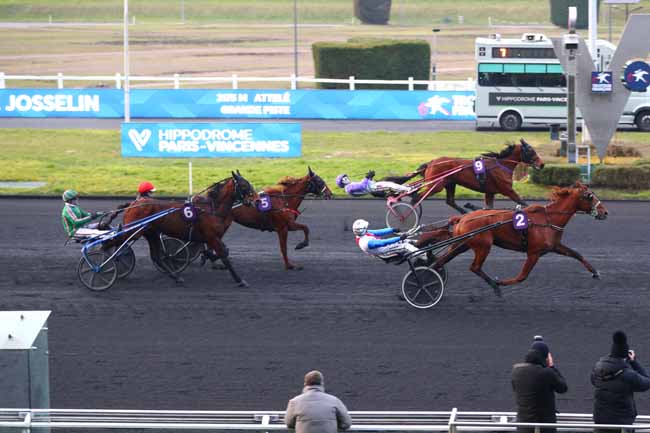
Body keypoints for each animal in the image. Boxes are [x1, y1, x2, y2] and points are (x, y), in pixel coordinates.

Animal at [121, 171, 256, 286]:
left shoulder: (212, 237)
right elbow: (223, 254)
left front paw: (208, 257)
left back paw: (176, 277)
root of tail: (133, 204)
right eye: (244, 185)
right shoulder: (211, 236)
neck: (212, 209)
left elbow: (221, 251)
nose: (256, 200)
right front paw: (240, 280)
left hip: (151, 233)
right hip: (134, 230)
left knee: (157, 257)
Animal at [418, 181, 604, 296]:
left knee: (442, 260)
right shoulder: (534, 252)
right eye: (590, 196)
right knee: (474, 267)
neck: (548, 219)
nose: (605, 212)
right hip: (483, 245)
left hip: (462, 243)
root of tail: (462, 218)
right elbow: (522, 276)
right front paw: (500, 283)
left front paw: (595, 272)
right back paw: (494, 285)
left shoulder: (554, 246)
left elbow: (577, 254)